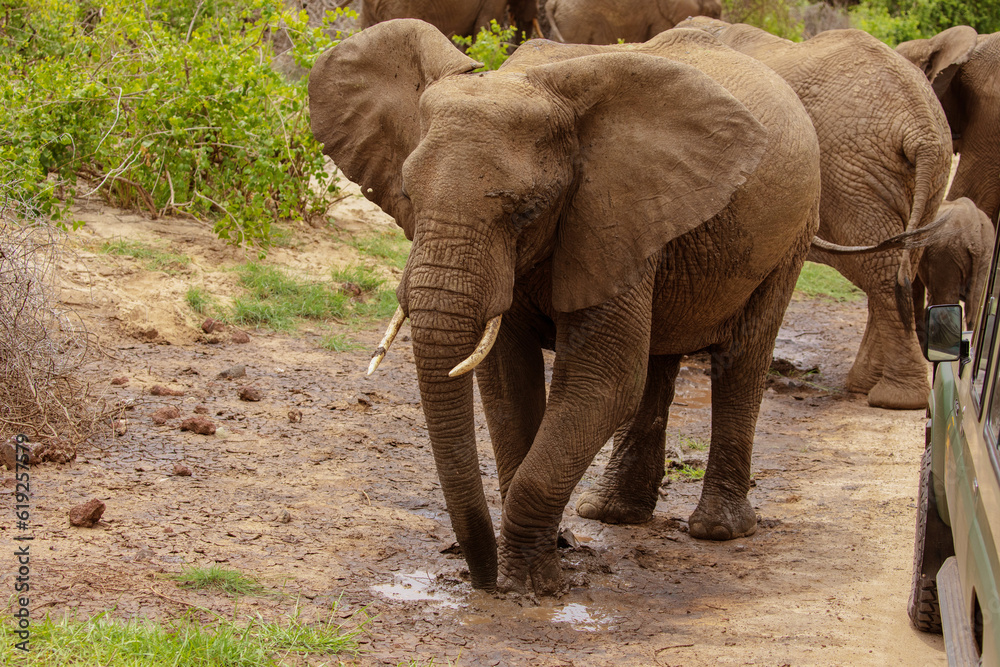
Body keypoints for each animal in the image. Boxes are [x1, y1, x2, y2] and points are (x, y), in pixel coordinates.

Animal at [306, 19, 820, 596]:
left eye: (525, 211)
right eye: (409, 197)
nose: (481, 579)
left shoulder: (610, 211)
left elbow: (603, 381)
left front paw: (531, 584)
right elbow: (507, 380)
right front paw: (549, 555)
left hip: (792, 232)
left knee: (743, 353)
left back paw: (717, 531)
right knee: (659, 359)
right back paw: (613, 514)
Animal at [680, 15, 952, 410]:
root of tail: (921, 125)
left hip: (852, 172)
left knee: (880, 270)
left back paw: (894, 398)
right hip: (923, 178)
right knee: (898, 264)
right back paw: (866, 385)